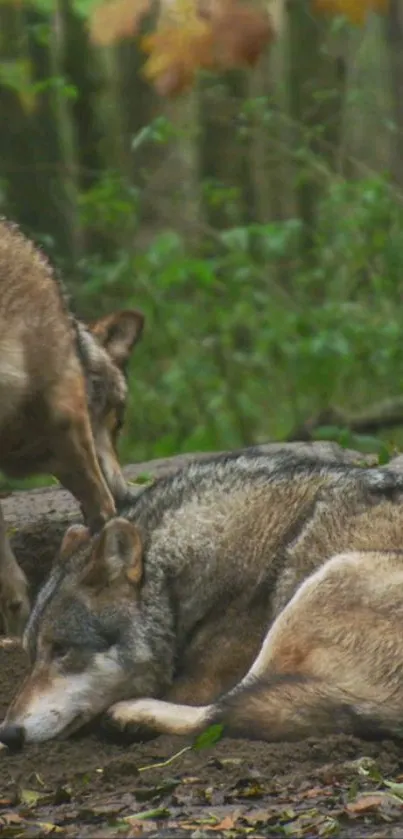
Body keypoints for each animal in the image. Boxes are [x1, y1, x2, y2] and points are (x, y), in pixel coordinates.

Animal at [2, 450, 403, 752]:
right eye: (32, 655)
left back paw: (129, 716)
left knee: (223, 712)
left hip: (327, 578)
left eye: (62, 650)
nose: (8, 732)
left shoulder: (203, 681)